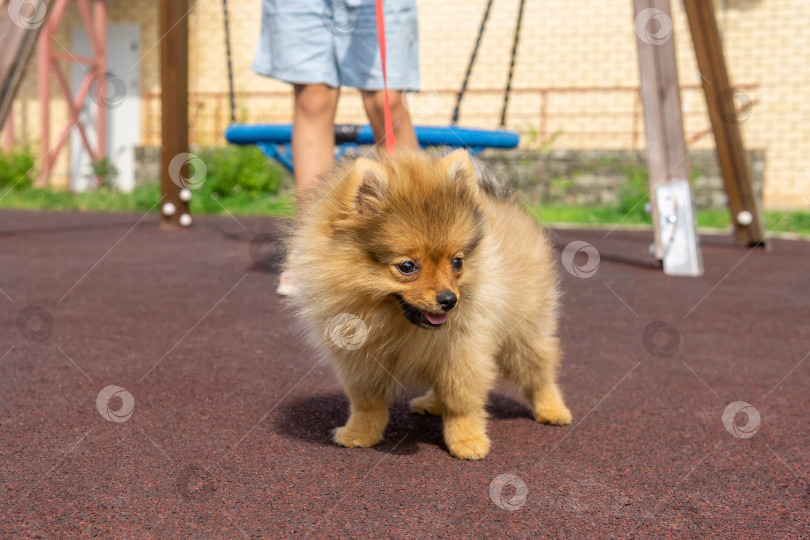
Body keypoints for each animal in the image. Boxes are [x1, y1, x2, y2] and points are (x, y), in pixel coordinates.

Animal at [284, 149, 568, 460]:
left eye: (457, 262)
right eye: (407, 267)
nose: (449, 300)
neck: (394, 321)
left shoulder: (464, 351)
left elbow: (462, 400)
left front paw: (467, 439)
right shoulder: (361, 359)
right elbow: (366, 401)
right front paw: (360, 433)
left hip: (524, 331)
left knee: (539, 371)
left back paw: (552, 409)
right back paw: (432, 403)